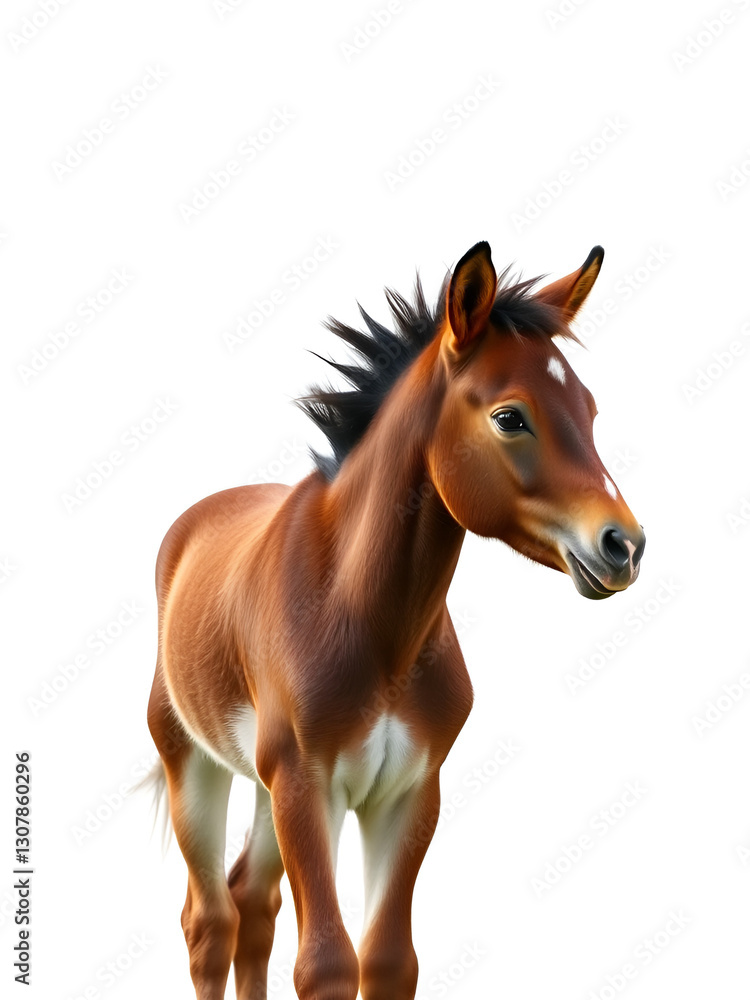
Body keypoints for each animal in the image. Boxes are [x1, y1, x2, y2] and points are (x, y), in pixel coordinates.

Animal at [146, 241, 645, 1000]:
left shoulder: (408, 796)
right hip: (195, 764)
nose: (624, 546)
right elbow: (326, 963)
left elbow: (387, 961)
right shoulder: (305, 787)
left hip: (262, 787)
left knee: (251, 905)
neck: (372, 626)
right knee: (210, 922)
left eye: (588, 407)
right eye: (510, 416)